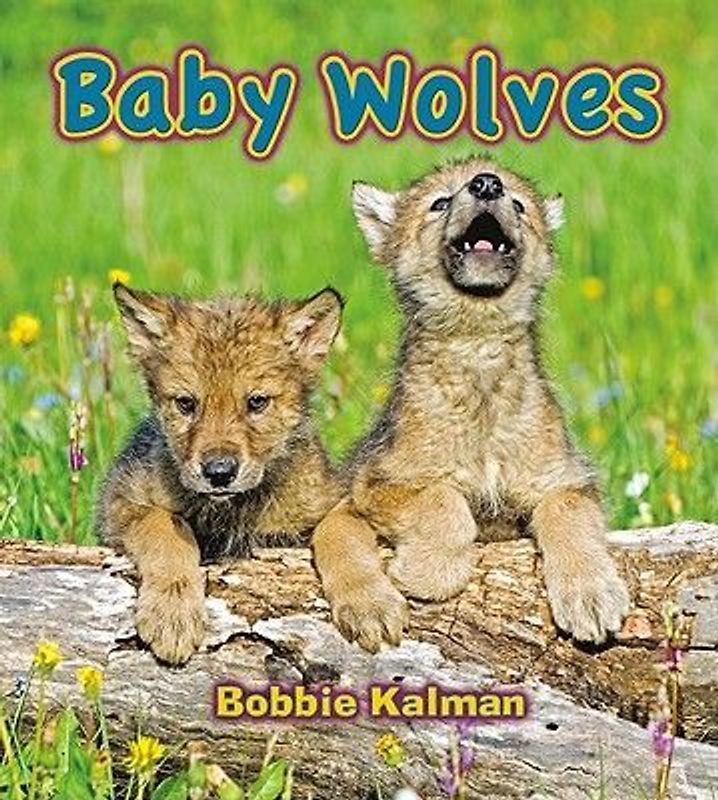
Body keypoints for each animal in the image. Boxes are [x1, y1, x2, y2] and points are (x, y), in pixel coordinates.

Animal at [98, 284, 343, 664]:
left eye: (257, 402)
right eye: (186, 403)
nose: (219, 472)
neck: (231, 514)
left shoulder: (325, 500)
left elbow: (341, 526)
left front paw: (372, 604)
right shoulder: (120, 501)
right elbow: (164, 526)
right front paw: (173, 613)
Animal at [313, 156, 630, 652]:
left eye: (518, 204)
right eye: (440, 202)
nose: (486, 184)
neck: (478, 350)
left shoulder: (566, 480)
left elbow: (568, 516)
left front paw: (592, 595)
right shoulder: (382, 482)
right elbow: (443, 500)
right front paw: (430, 574)